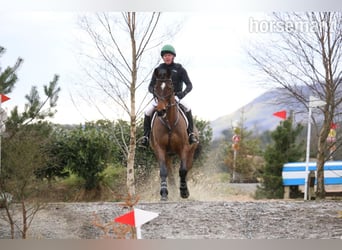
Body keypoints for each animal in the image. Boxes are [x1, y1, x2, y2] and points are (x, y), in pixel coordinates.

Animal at [150, 67, 200, 200]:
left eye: (170, 87)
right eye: (156, 87)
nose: (160, 111)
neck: (170, 124)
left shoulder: (184, 148)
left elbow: (182, 170)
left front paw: (184, 192)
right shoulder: (160, 149)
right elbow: (164, 171)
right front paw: (164, 193)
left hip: (191, 152)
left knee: (187, 169)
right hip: (167, 154)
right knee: (171, 172)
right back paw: (172, 190)